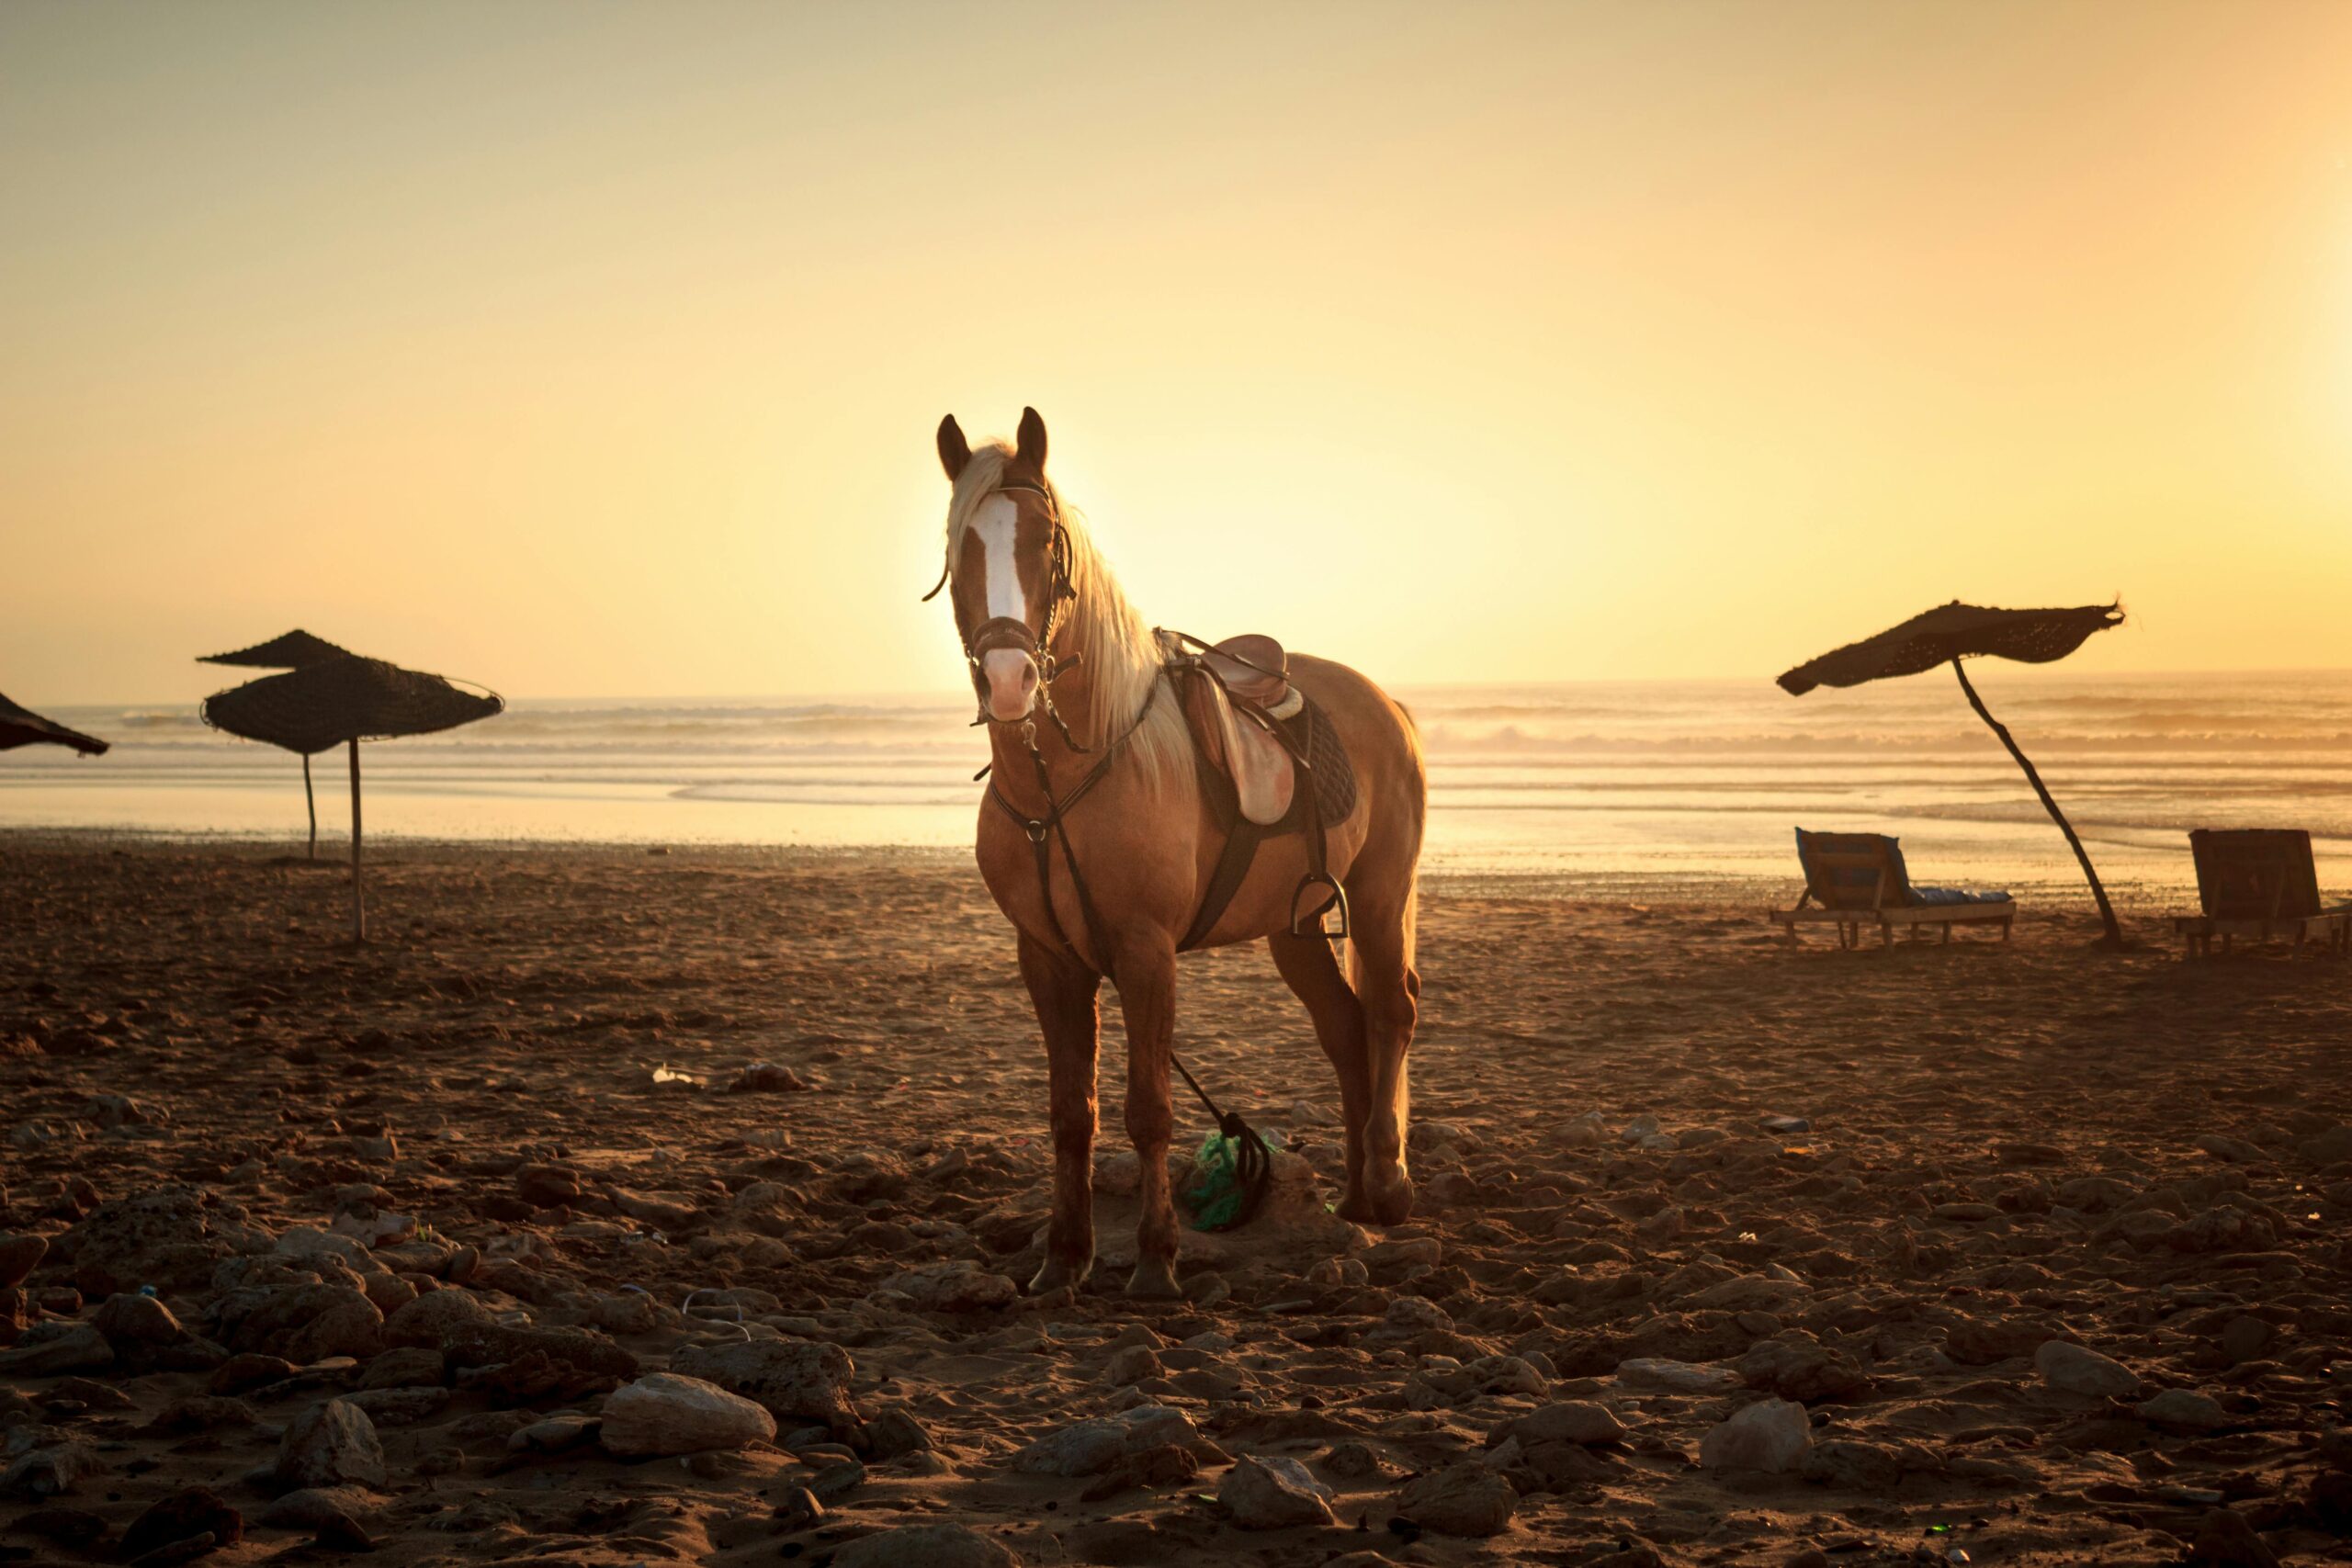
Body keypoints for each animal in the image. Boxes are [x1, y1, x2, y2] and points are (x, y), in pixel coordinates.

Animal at [931, 407, 1427, 1298]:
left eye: (1046, 543)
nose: (1010, 679)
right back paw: (1354, 1197)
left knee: (1391, 1013)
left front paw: (1156, 1261)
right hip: (1295, 925)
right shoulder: (1048, 957)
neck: (1071, 777)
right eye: (961, 550)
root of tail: (1387, 704)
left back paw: (1389, 1182)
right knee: (1345, 1026)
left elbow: (1149, 1111)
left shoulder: (1145, 952)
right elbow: (1072, 1113)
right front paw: (1063, 1259)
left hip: (1379, 895)